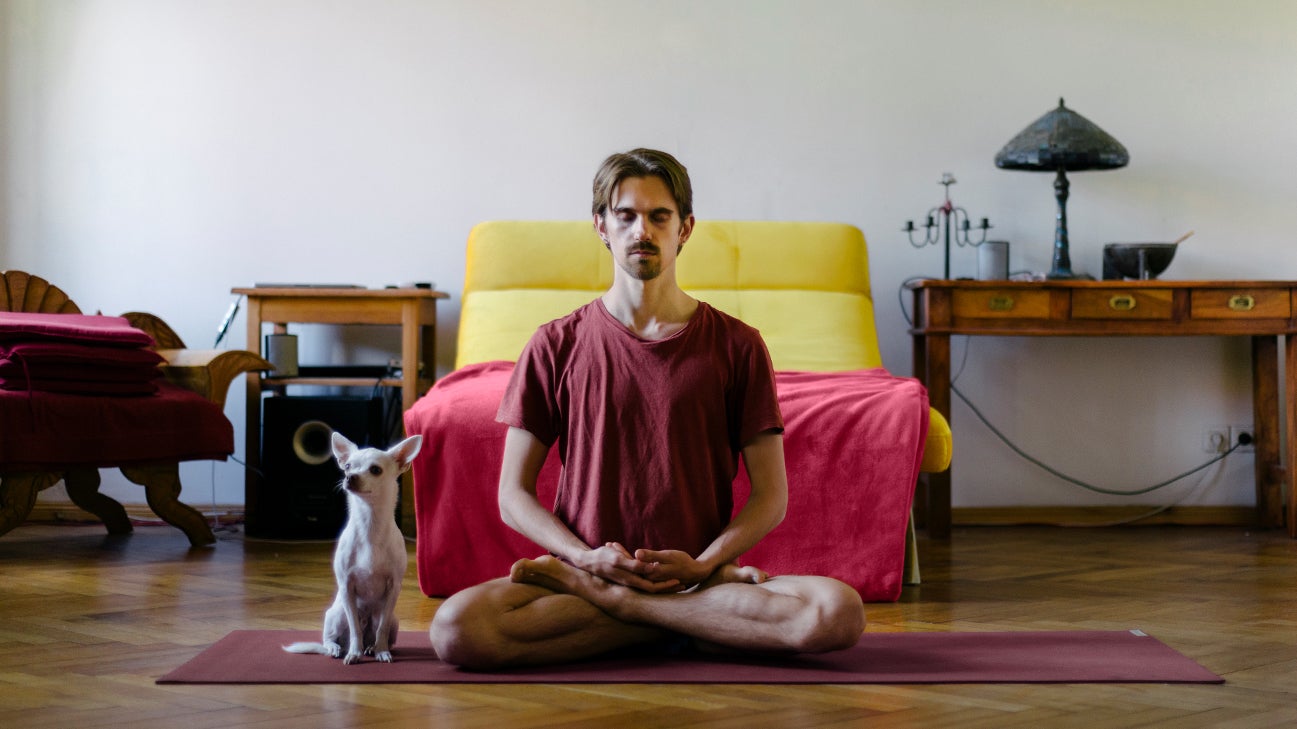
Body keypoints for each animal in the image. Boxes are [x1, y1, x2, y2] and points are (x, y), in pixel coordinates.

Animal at [285, 428, 422, 661]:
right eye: (348, 466)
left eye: (375, 470)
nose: (350, 477)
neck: (370, 524)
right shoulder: (347, 587)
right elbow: (355, 627)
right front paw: (354, 653)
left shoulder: (393, 588)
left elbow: (382, 628)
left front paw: (382, 651)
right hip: (336, 613)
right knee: (333, 637)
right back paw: (338, 648)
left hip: (393, 619)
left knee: (379, 630)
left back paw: (372, 648)